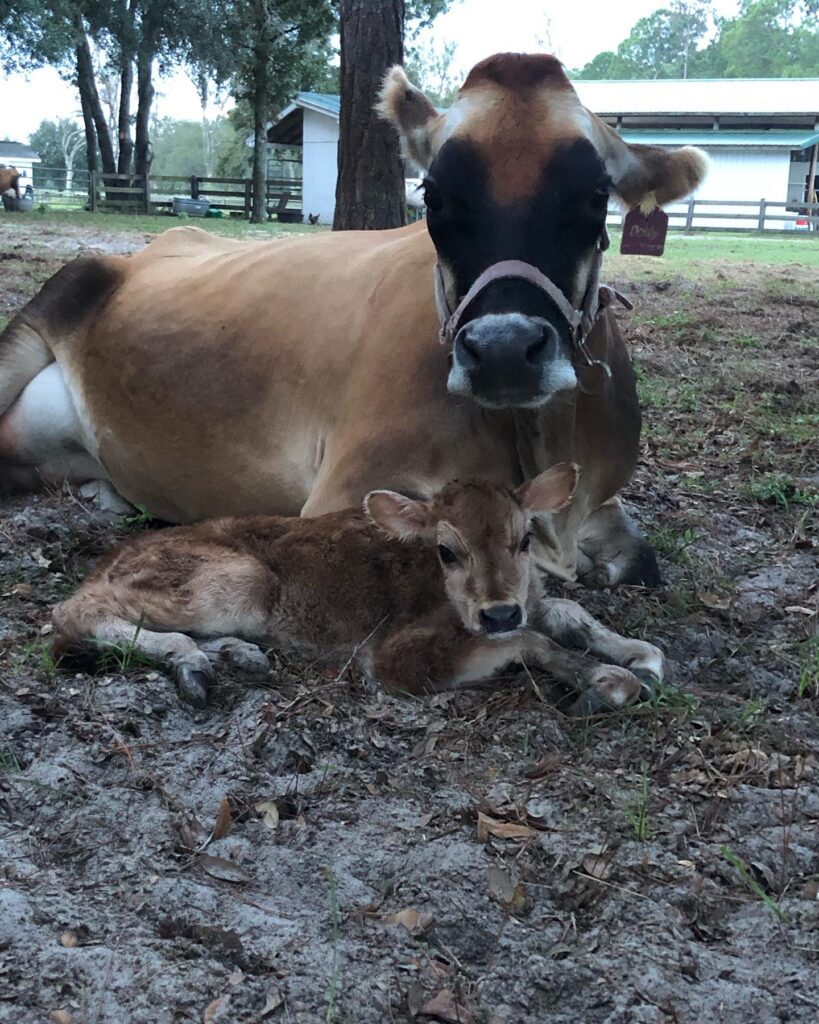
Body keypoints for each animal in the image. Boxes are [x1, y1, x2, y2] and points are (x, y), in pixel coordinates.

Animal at [0, 53, 707, 588]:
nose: (504, 349)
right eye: (432, 196)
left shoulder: (601, 496)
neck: (540, 437)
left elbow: (639, 559)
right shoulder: (344, 491)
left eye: (595, 195)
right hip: (49, 302)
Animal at [52, 463, 664, 711]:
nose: (497, 612)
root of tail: (111, 556)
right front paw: (609, 681)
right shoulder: (393, 659)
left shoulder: (528, 599)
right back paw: (192, 664)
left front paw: (642, 654)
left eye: (525, 539)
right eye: (446, 549)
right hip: (235, 580)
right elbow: (531, 641)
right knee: (73, 614)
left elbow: (565, 612)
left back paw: (236, 655)